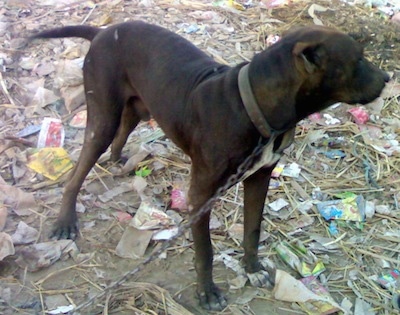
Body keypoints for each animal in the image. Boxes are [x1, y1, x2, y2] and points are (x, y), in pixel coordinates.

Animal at [30, 21, 388, 312]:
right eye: (358, 59)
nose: (387, 78)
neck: (252, 108)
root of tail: (103, 32)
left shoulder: (259, 178)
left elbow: (253, 230)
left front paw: (252, 270)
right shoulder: (201, 195)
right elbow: (205, 250)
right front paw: (207, 293)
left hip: (136, 109)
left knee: (120, 137)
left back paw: (119, 163)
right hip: (102, 118)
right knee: (77, 173)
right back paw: (65, 221)